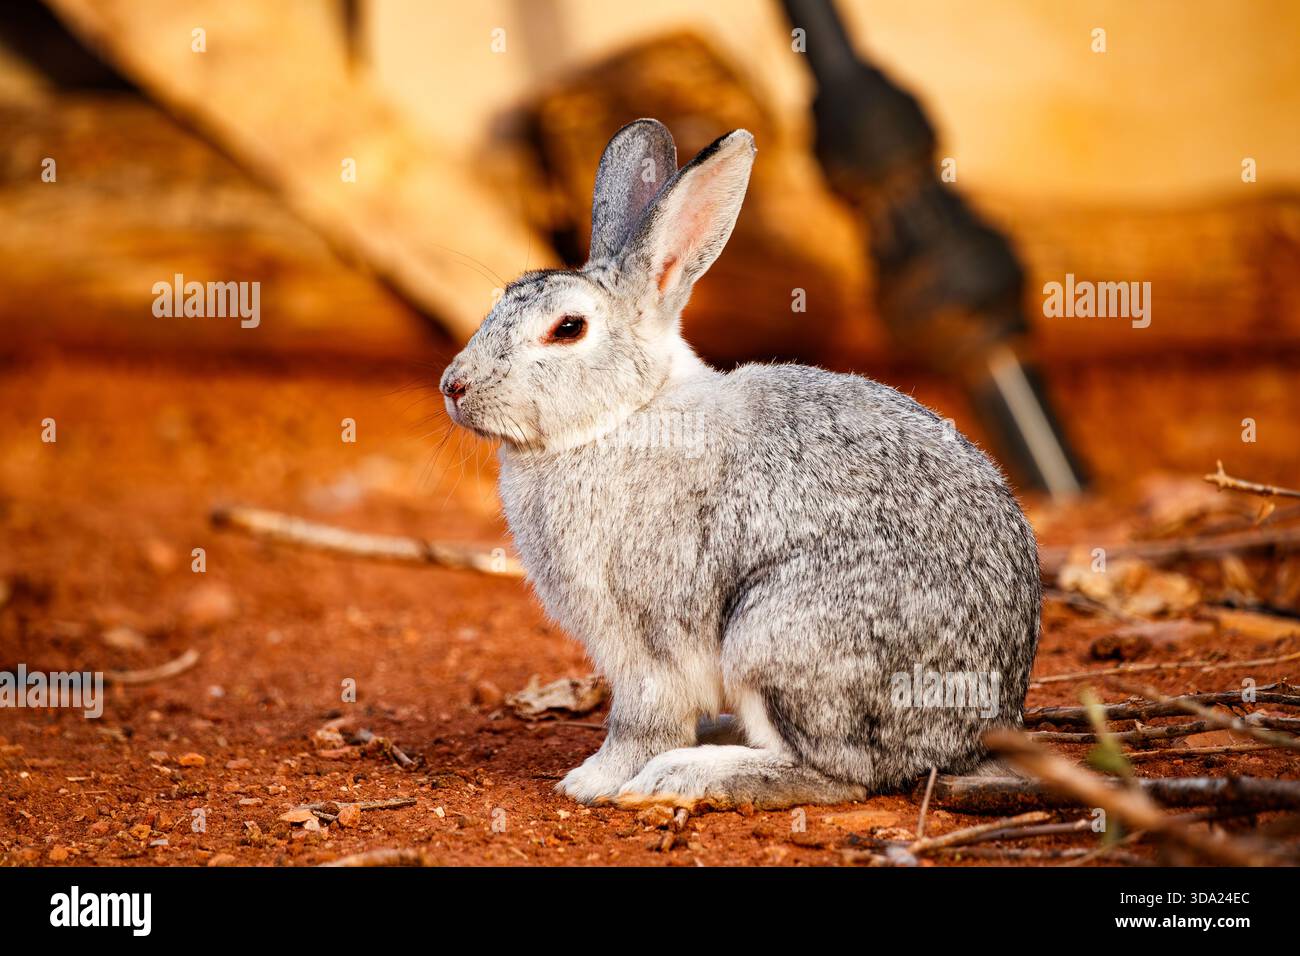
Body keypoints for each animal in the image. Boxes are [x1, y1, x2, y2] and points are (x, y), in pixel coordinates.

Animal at [440, 119, 1041, 810]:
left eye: (568, 328)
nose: (452, 386)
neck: (626, 411)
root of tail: (970, 732)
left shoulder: (644, 637)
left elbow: (642, 719)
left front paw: (593, 781)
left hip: (776, 636)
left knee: (839, 776)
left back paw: (685, 774)